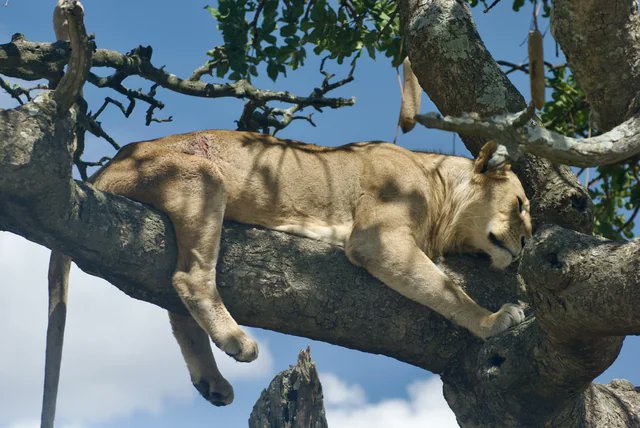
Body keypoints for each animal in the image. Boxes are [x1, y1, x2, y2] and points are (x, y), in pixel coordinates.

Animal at [42, 131, 531, 424]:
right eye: (521, 204)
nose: (527, 244)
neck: (439, 184)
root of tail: (102, 168)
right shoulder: (379, 238)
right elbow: (447, 289)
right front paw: (493, 321)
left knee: (173, 301)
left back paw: (212, 383)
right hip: (201, 175)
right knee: (188, 279)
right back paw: (237, 342)